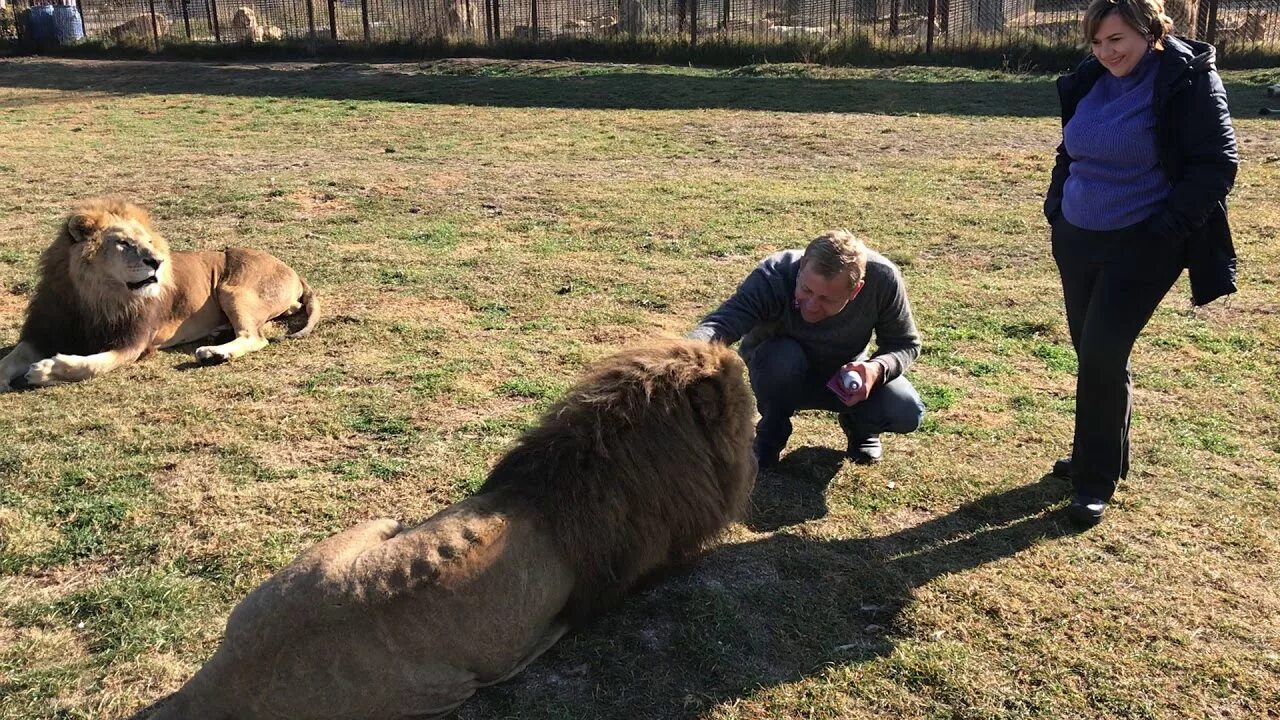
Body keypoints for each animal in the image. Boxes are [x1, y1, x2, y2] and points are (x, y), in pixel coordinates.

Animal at [0, 197, 320, 392]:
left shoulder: (133, 343)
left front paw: (46, 371)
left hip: (233, 289)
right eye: (124, 243)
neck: (95, 297)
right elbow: (11, 358)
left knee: (255, 337)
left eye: (149, 242)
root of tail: (292, 269)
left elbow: (88, 365)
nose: (157, 261)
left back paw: (214, 353)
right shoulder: (44, 330)